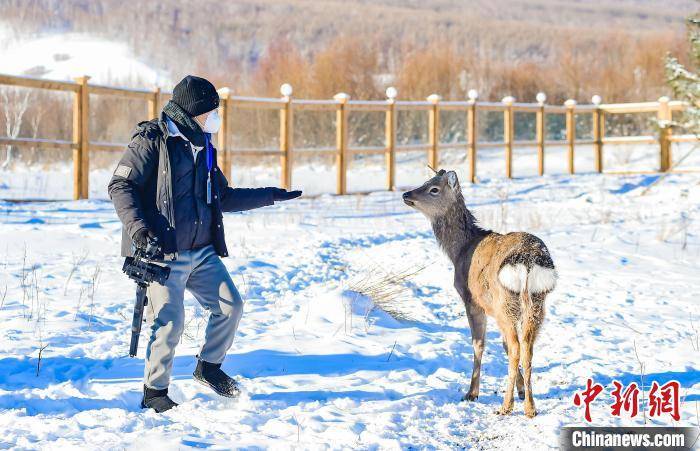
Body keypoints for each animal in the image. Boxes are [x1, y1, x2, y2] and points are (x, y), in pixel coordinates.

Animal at [402, 169, 557, 417]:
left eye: (433, 189)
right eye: (426, 181)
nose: (406, 194)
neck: (459, 251)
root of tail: (528, 262)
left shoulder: (471, 300)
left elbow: (479, 344)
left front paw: (471, 393)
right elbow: (503, 346)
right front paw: (521, 390)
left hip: (505, 301)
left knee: (516, 347)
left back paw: (505, 406)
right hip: (536, 302)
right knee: (526, 348)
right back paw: (530, 408)